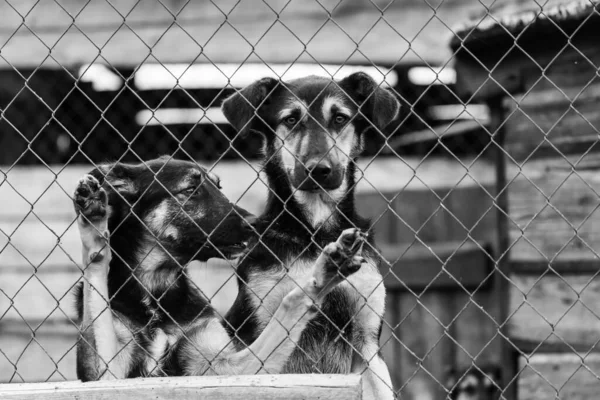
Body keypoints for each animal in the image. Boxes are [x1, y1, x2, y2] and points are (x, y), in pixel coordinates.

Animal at [72, 155, 364, 380]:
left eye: (218, 186)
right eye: (191, 189)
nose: (256, 224)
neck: (155, 292)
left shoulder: (223, 367)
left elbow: (288, 308)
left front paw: (323, 275)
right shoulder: (107, 373)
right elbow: (97, 269)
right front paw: (94, 231)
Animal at [220, 72, 398, 400]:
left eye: (340, 118)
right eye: (290, 120)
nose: (318, 169)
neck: (314, 233)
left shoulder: (368, 344)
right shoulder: (262, 335)